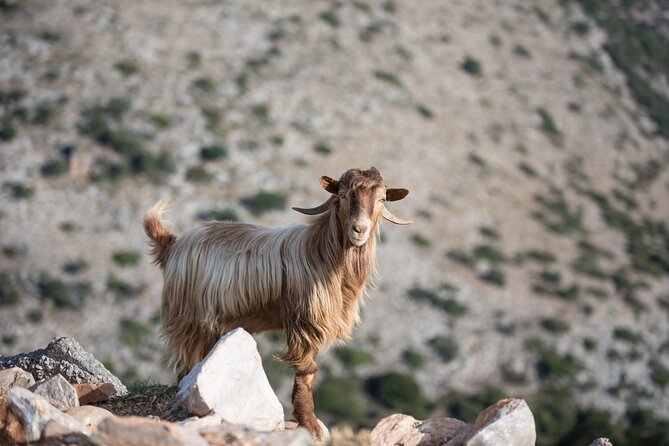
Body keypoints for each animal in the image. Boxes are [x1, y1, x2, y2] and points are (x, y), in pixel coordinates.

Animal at [144, 167, 410, 440]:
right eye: (343, 196)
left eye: (381, 200)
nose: (359, 229)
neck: (322, 253)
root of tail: (173, 245)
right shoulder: (305, 324)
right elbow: (306, 371)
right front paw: (310, 424)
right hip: (191, 321)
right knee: (186, 365)